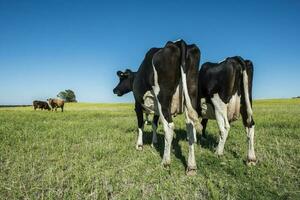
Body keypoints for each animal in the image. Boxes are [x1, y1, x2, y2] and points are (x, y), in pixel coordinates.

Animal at [113, 39, 202, 175]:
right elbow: (154, 124)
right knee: (190, 127)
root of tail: (177, 42)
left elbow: (140, 124)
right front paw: (154, 143)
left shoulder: (138, 105)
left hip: (163, 97)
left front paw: (139, 145)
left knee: (169, 127)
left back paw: (165, 162)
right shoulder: (155, 109)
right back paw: (191, 167)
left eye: (121, 79)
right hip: (191, 95)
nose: (114, 90)